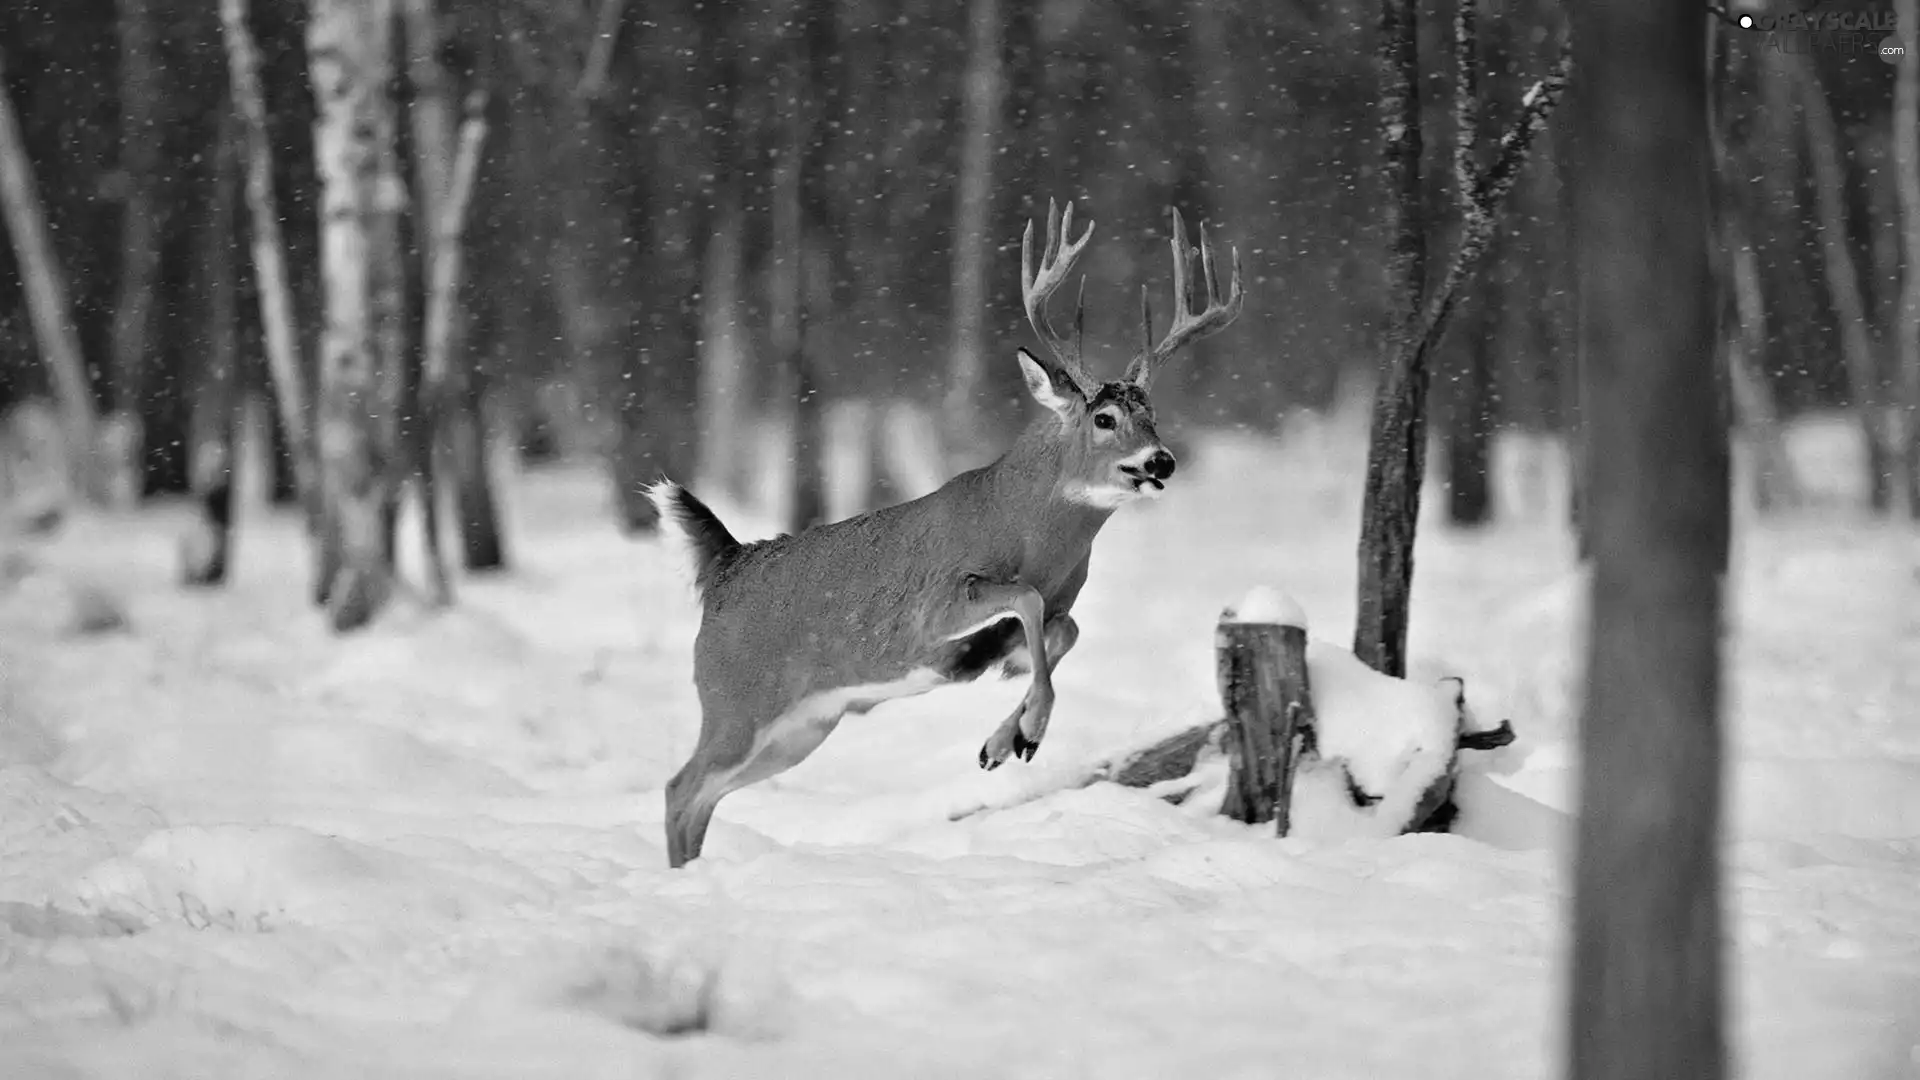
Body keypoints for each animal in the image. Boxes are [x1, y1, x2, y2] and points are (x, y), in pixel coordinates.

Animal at [645, 199, 1244, 864]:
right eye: (1105, 418)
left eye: (1153, 415)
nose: (1161, 461)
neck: (1025, 529)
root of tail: (727, 563)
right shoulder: (932, 612)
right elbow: (1027, 600)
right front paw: (1028, 731)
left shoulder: (1057, 605)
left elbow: (1064, 629)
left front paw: (1003, 740)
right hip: (735, 702)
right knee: (679, 788)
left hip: (802, 728)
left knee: (701, 797)